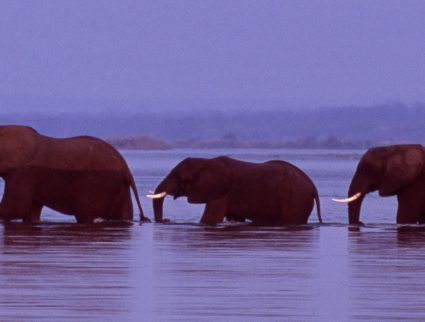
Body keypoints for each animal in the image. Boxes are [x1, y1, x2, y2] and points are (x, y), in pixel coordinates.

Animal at [0, 126, 149, 224]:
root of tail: (127, 171)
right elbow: (30, 211)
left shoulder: (22, 173)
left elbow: (15, 208)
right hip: (119, 188)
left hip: (97, 185)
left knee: (86, 216)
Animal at [147, 155, 320, 225]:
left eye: (178, 175)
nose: (165, 220)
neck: (206, 162)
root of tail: (313, 187)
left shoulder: (220, 193)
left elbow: (209, 219)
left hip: (295, 199)